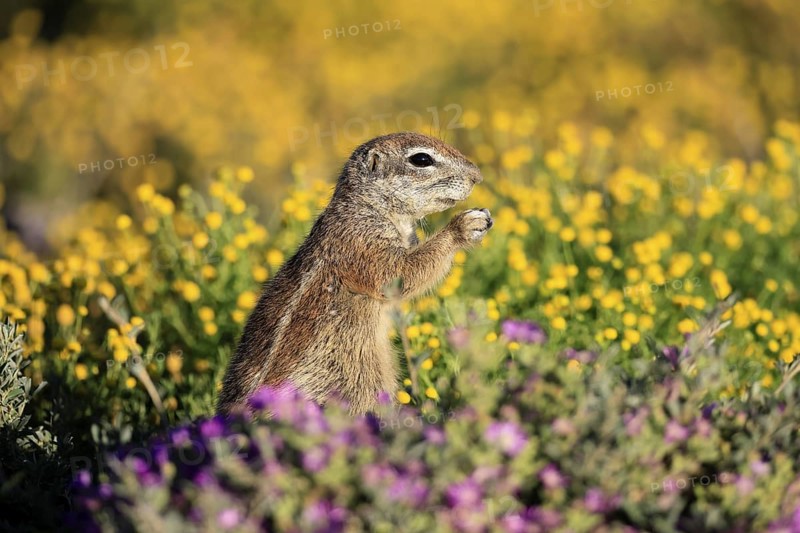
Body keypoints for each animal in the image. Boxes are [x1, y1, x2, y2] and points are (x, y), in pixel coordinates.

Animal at [217, 132, 492, 415]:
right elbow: (400, 274)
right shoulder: (362, 243)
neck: (368, 206)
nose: (478, 176)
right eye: (422, 159)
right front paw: (463, 226)